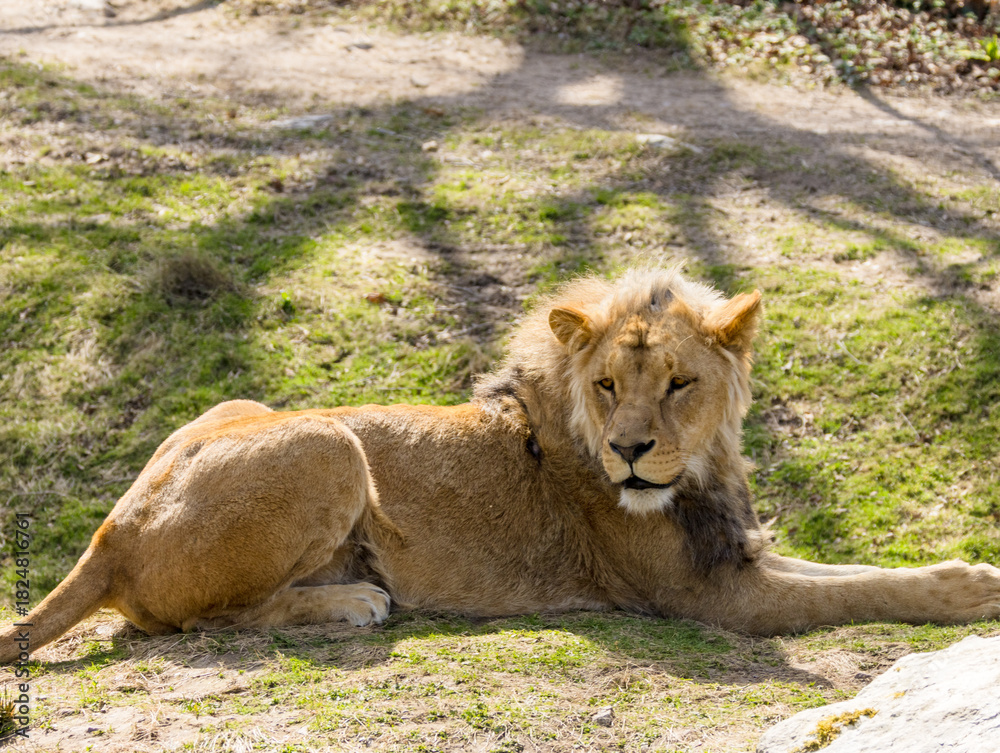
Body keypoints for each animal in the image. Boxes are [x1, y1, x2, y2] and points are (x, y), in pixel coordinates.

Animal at [2, 266, 999, 663]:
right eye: (606, 385)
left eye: (679, 383)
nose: (630, 451)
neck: (700, 471)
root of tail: (111, 528)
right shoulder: (712, 598)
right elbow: (864, 591)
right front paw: (975, 590)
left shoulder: (737, 552)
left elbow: (855, 570)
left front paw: (972, 572)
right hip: (330, 442)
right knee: (201, 621)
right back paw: (353, 599)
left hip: (246, 411)